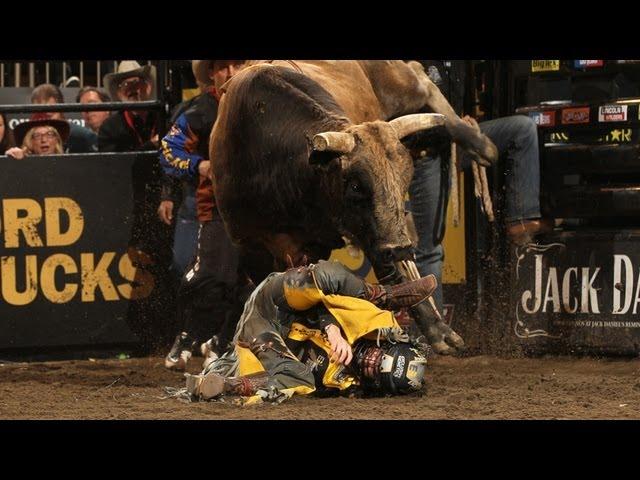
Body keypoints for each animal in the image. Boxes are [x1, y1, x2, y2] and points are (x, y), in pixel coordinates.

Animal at [212, 59, 498, 352]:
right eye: (356, 186)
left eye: (405, 179)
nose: (401, 247)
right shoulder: (254, 245)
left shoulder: (375, 233)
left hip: (394, 81)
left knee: (420, 77)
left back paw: (482, 145)